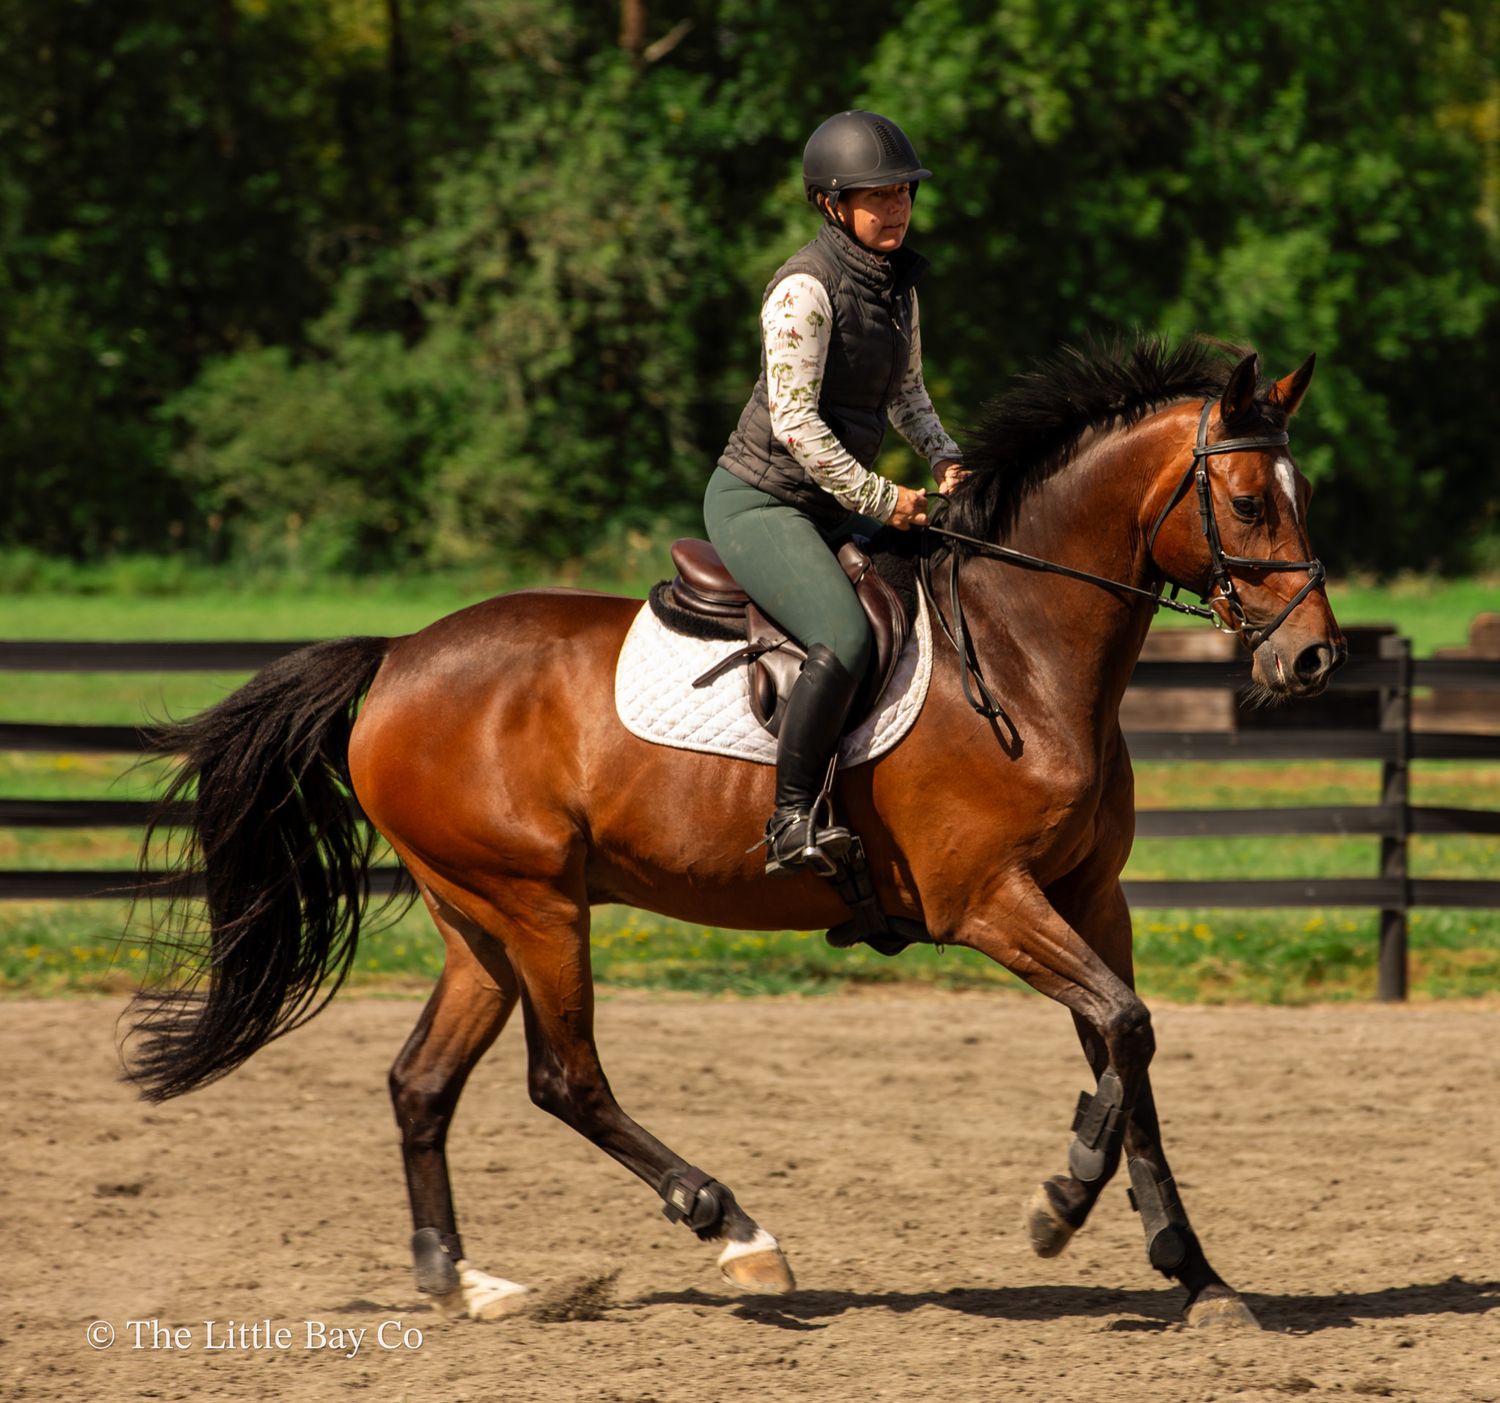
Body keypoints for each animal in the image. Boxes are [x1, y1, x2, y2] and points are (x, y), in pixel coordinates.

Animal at [124, 337, 1343, 1330]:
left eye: (1304, 495)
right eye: (1246, 501)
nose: (1312, 660)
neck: (1020, 647)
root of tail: (396, 658)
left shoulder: (1093, 896)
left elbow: (1127, 1052)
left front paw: (1195, 1271)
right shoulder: (988, 900)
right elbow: (1123, 1031)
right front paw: (1061, 1202)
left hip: (476, 918)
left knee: (423, 1080)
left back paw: (466, 1281)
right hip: (537, 904)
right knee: (566, 1078)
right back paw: (737, 1231)